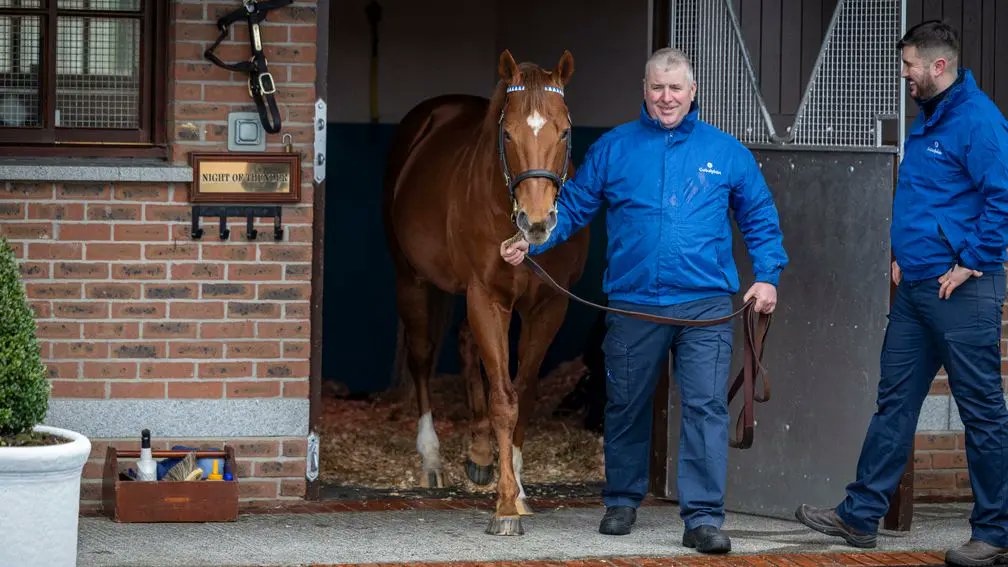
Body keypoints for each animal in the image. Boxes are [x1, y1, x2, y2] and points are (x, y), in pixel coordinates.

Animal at [382, 50, 589, 535]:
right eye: (508, 132)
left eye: (564, 130)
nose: (537, 222)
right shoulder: (487, 296)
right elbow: (503, 399)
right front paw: (506, 505)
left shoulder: (548, 306)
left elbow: (524, 392)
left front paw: (519, 488)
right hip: (412, 279)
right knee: (423, 357)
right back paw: (432, 458)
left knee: (464, 340)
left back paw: (478, 453)